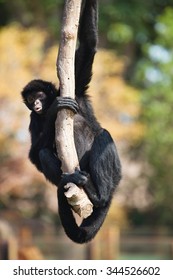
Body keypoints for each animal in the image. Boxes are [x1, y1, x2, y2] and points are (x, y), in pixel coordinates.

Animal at [21, 0, 121, 243]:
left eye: (39, 96)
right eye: (30, 99)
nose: (36, 104)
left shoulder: (75, 90)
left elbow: (88, 47)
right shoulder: (33, 118)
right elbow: (34, 154)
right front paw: (53, 111)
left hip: (115, 172)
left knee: (103, 135)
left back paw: (99, 196)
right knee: (44, 152)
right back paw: (72, 180)